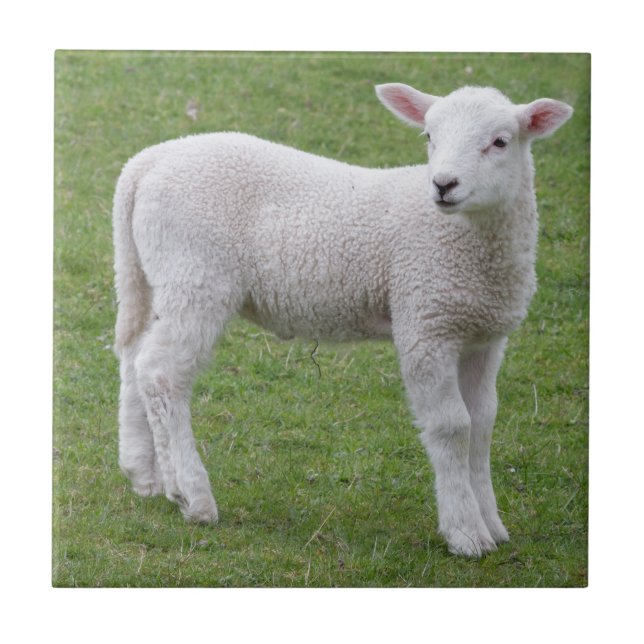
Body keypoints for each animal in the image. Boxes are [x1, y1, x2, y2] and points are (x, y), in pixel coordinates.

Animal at [112, 82, 572, 557]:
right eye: (430, 136)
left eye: (500, 142)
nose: (444, 184)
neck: (463, 238)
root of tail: (145, 163)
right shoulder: (425, 323)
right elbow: (452, 427)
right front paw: (465, 533)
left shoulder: (483, 335)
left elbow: (481, 425)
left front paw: (492, 525)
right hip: (196, 275)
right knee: (162, 373)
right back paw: (192, 494)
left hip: (151, 273)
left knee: (133, 357)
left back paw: (144, 474)